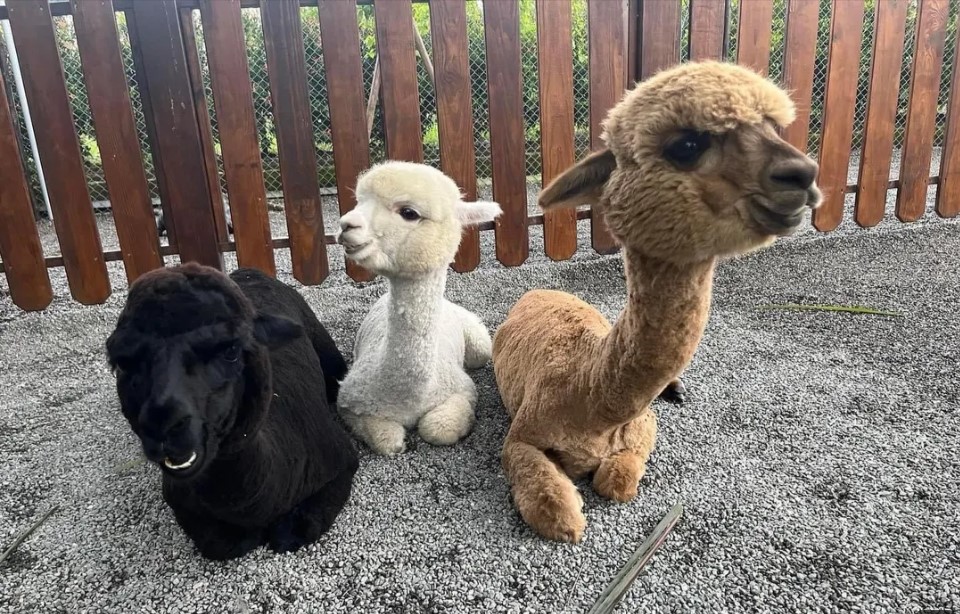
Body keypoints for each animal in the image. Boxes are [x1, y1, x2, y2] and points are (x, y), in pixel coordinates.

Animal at [105, 263, 359, 560]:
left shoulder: (342, 461)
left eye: (231, 351)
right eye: (122, 363)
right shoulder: (177, 497)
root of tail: (249, 271)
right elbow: (222, 544)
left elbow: (302, 529)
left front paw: (287, 530)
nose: (163, 424)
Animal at [334, 161, 502, 456]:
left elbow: (438, 429)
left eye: (409, 213)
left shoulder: (461, 391)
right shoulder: (351, 399)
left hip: (480, 345)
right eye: (359, 201)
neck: (410, 397)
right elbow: (387, 440)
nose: (346, 225)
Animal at [491, 60, 823, 543]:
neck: (591, 401)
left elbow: (618, 481)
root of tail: (539, 290)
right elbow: (554, 506)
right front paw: (569, 516)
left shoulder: (642, 429)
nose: (803, 173)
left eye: (772, 127)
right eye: (686, 144)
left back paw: (676, 388)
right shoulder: (523, 435)